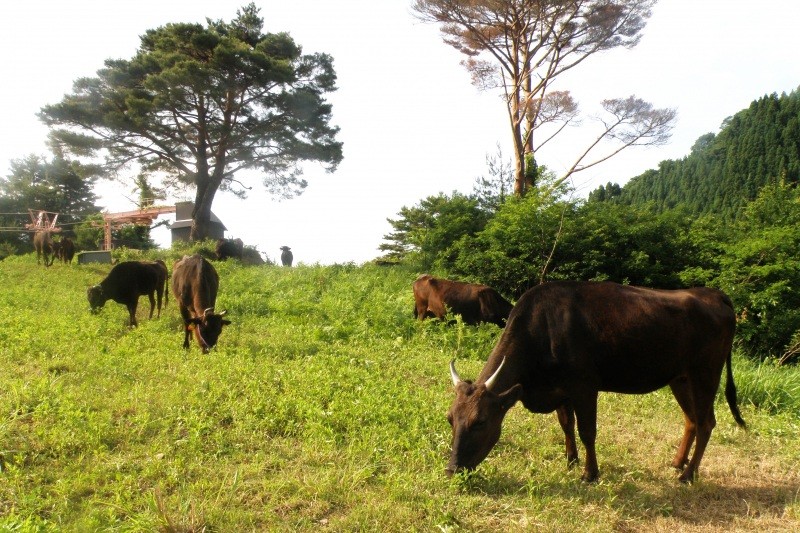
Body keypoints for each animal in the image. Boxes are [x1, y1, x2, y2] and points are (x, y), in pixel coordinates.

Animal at [446, 280, 748, 484]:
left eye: (480, 421)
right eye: (450, 419)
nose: (451, 469)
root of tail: (714, 294)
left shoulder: (584, 386)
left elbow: (587, 431)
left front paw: (590, 473)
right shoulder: (561, 388)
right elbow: (566, 424)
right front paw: (571, 460)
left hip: (705, 373)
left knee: (707, 422)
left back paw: (687, 474)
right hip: (680, 378)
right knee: (692, 420)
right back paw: (677, 462)